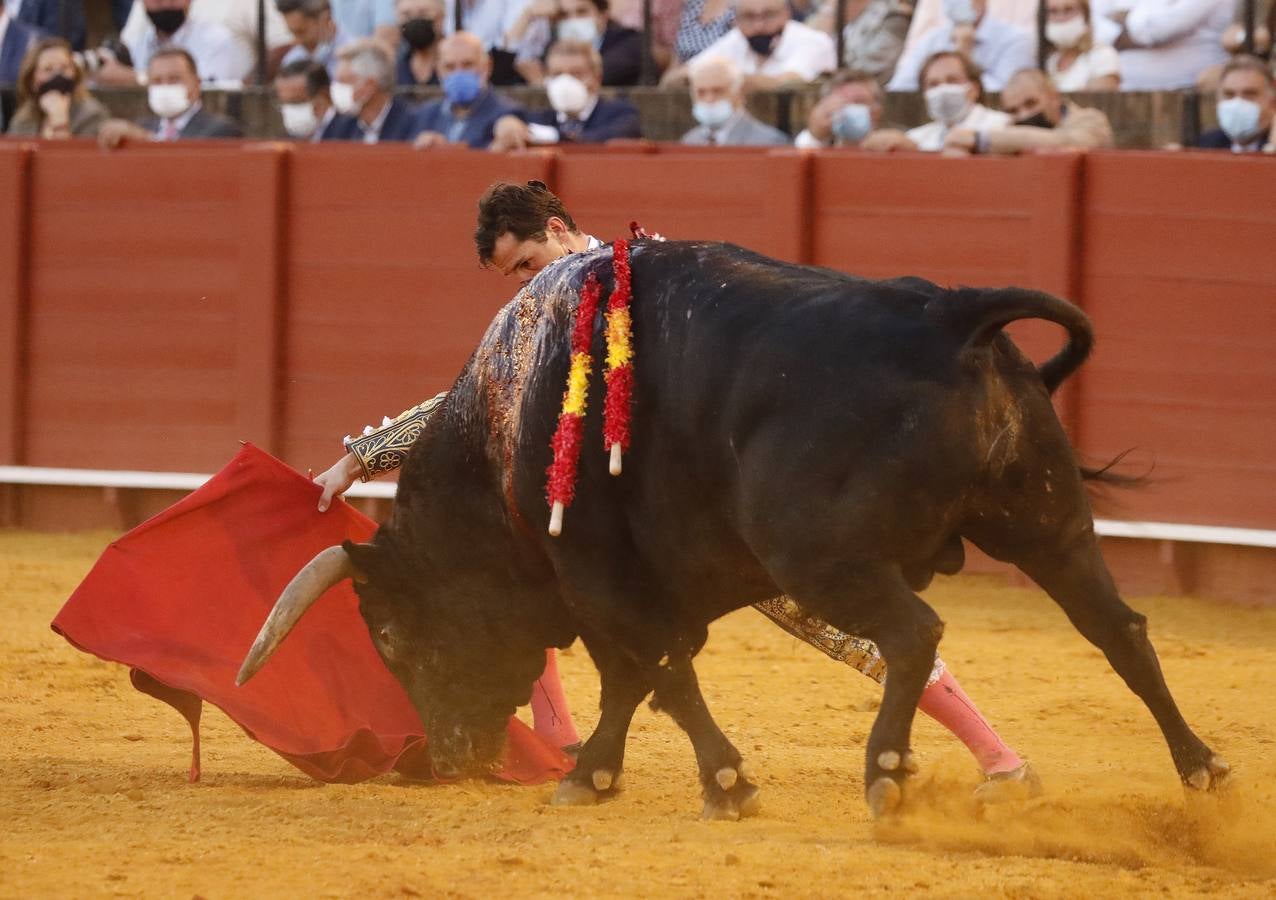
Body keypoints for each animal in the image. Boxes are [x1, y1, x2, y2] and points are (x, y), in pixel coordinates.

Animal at [237, 238, 1224, 817]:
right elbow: (637, 680)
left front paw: (721, 782)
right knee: (1117, 630)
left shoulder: (596, 573)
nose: (448, 757)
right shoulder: (630, 588)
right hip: (1045, 523)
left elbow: (655, 673)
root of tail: (948, 312)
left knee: (914, 635)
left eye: (392, 637)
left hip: (824, 556)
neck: (508, 415)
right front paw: (591, 775)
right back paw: (1203, 771)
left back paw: (886, 772)